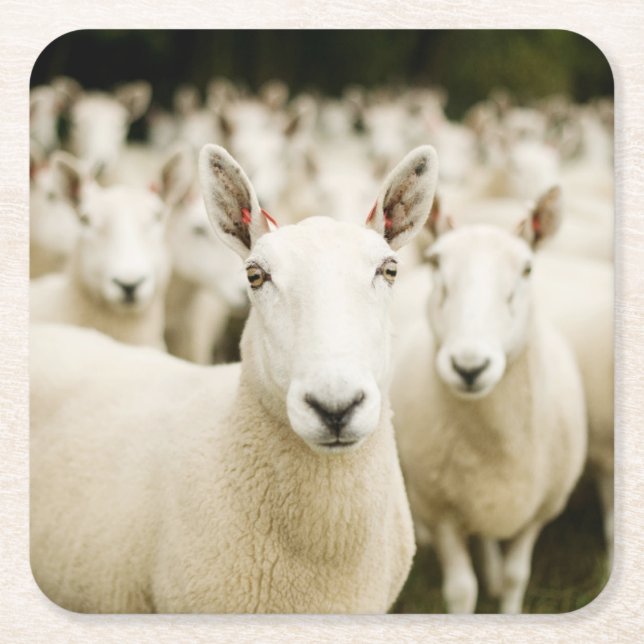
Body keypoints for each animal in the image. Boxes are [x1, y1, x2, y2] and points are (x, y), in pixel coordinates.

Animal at [391, 198, 587, 613]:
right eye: (436, 263)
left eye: (527, 268)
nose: (470, 367)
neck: (496, 443)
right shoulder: (441, 511)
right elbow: (461, 589)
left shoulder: (539, 510)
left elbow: (517, 577)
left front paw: (507, 601)